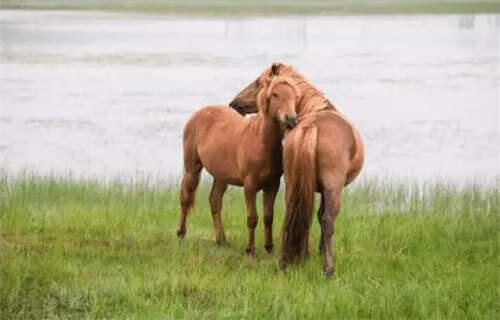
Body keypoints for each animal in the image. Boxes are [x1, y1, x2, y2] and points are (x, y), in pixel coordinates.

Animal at [178, 72, 298, 258]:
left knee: (215, 200)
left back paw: (221, 240)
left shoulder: (272, 185)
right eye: (275, 95)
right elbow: (252, 218)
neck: (260, 142)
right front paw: (250, 251)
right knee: (185, 196)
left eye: (295, 97)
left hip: (221, 176)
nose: (291, 120)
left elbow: (268, 217)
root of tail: (200, 113)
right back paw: (181, 234)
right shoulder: (250, 186)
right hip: (192, 167)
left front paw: (269, 248)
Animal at [229, 62, 364, 276]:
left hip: (292, 183)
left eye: (258, 82)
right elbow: (322, 217)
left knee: (294, 215)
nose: (235, 103)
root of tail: (312, 126)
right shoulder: (326, 190)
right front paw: (320, 252)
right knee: (328, 221)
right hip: (333, 188)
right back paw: (328, 268)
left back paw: (287, 260)